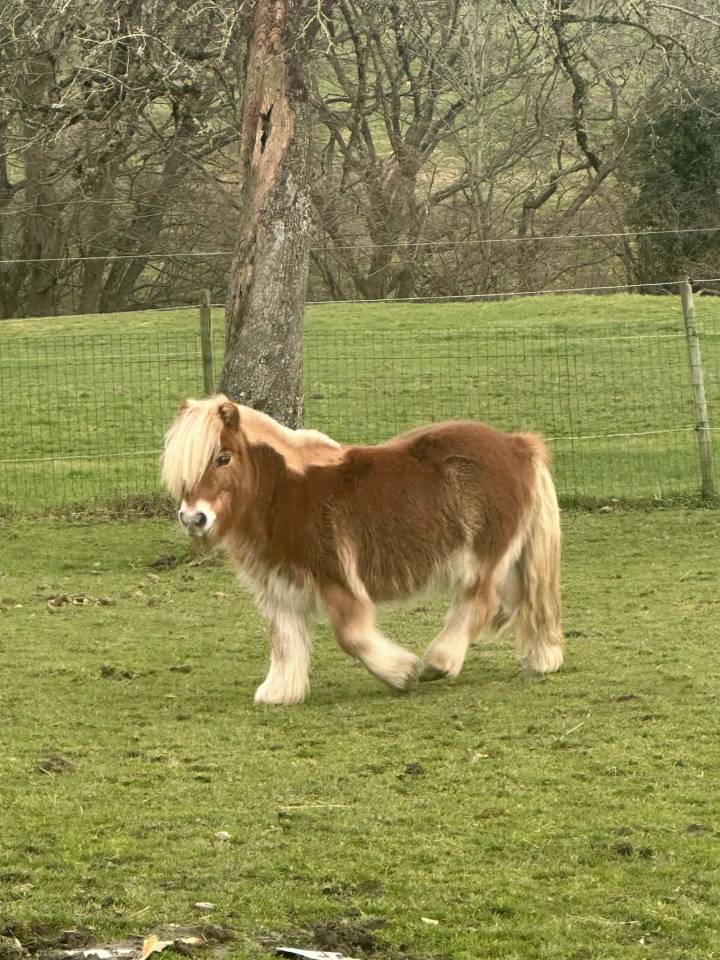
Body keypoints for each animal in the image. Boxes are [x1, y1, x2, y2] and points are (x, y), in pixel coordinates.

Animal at [162, 395, 564, 705]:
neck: (284, 490)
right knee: (524, 598)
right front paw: (279, 693)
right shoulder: (279, 587)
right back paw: (541, 659)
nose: (193, 518)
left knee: (481, 601)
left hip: (484, 556)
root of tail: (518, 445)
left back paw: (439, 662)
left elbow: (351, 637)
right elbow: (284, 640)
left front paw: (401, 673)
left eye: (223, 457)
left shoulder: (336, 580)